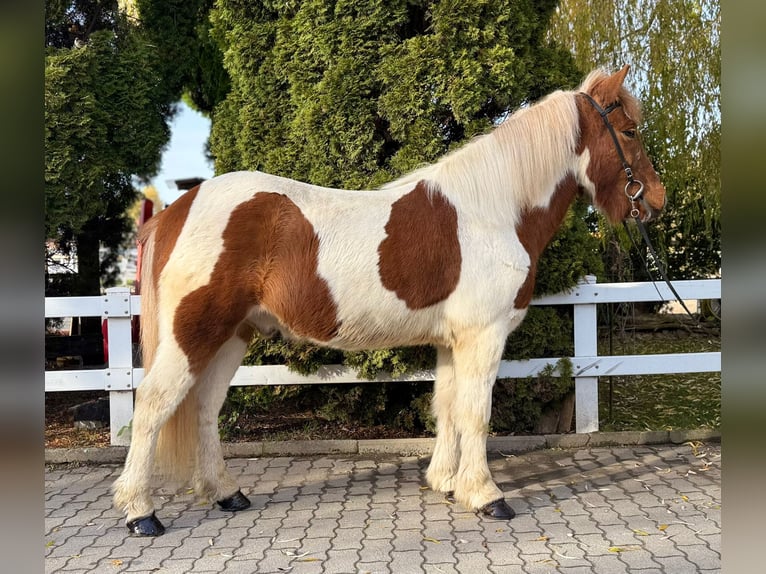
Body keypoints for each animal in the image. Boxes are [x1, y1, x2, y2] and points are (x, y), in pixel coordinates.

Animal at [112, 66, 666, 536]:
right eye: (630, 132)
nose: (656, 201)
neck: (493, 210)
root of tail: (179, 208)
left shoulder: (453, 341)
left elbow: (447, 407)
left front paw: (445, 484)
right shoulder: (483, 337)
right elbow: (476, 413)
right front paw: (487, 496)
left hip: (232, 335)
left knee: (204, 407)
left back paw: (226, 494)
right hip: (193, 333)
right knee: (155, 405)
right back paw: (141, 513)